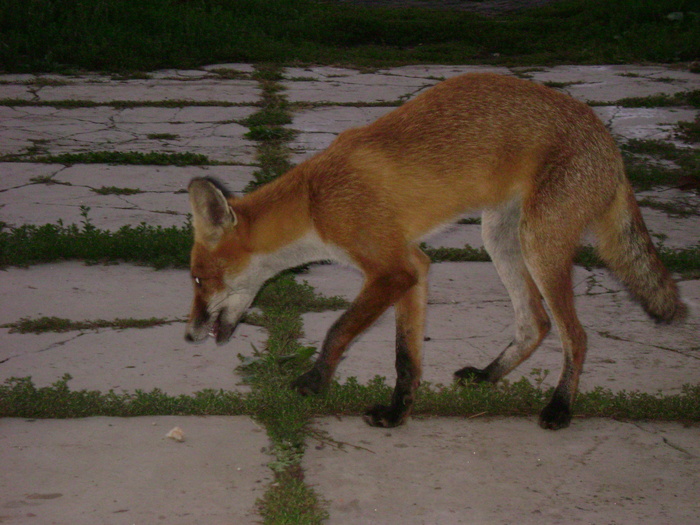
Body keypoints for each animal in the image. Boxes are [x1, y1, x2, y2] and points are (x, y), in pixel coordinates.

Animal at [183, 71, 688, 428]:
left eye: (198, 279)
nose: (187, 337)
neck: (314, 202)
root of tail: (608, 140)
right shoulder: (413, 267)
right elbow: (406, 358)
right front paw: (397, 414)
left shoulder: (392, 270)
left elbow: (337, 330)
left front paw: (315, 380)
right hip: (498, 238)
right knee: (535, 323)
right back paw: (488, 376)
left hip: (539, 246)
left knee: (575, 336)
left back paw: (560, 409)